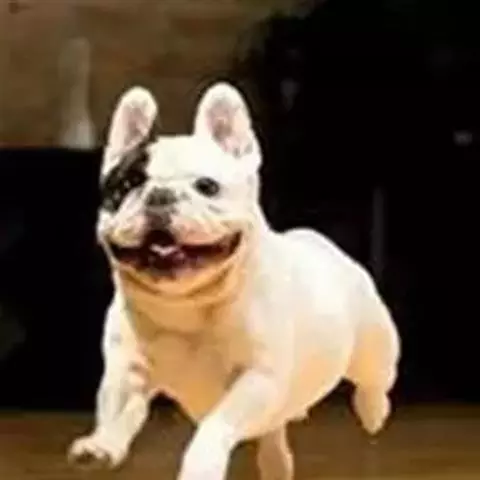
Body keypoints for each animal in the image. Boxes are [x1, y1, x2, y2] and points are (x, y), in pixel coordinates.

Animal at [67, 82, 400, 480]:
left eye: (207, 186)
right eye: (126, 186)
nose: (160, 195)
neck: (187, 303)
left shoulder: (257, 379)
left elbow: (216, 424)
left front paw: (201, 465)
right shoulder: (126, 373)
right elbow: (116, 415)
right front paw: (101, 445)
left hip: (373, 343)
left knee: (376, 378)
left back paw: (373, 411)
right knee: (274, 432)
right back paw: (276, 461)